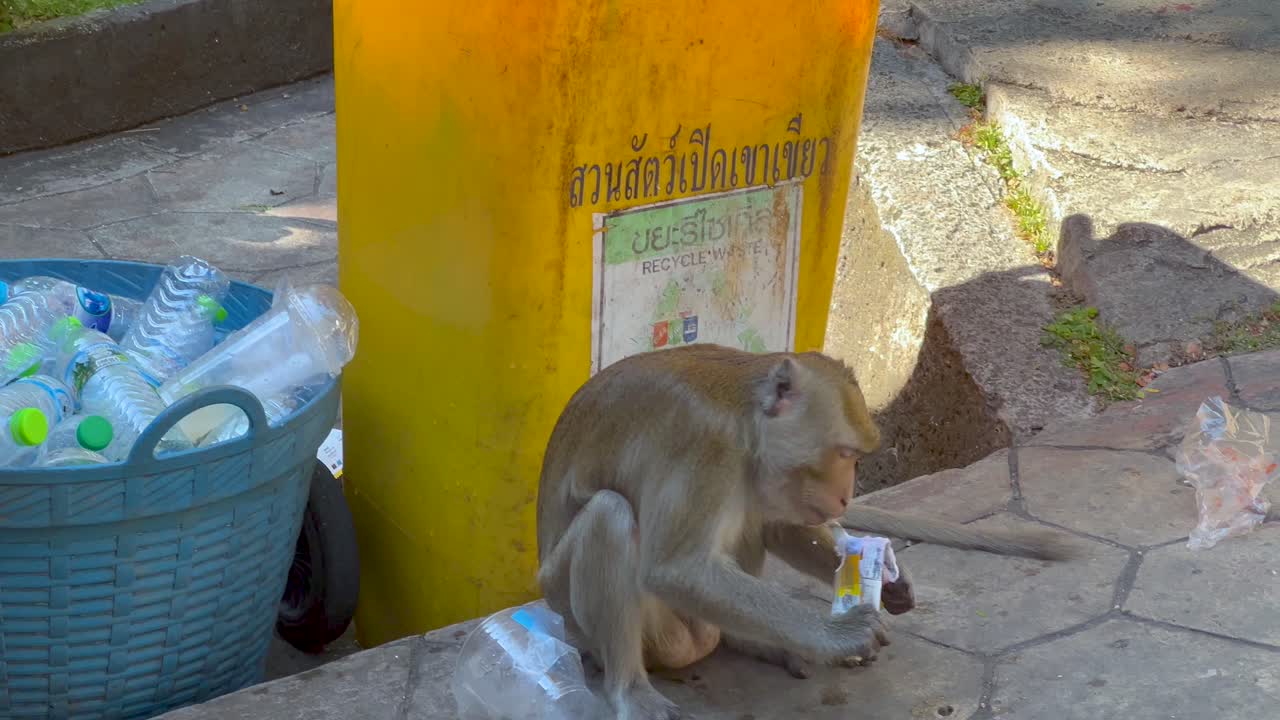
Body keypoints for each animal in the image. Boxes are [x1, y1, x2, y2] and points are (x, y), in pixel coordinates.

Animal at [535, 344, 1074, 719]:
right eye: (845, 453)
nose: (846, 496)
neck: (745, 420)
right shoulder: (704, 446)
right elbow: (674, 568)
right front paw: (838, 633)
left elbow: (780, 527)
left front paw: (891, 583)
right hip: (608, 621)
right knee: (609, 515)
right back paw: (630, 688)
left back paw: (751, 640)